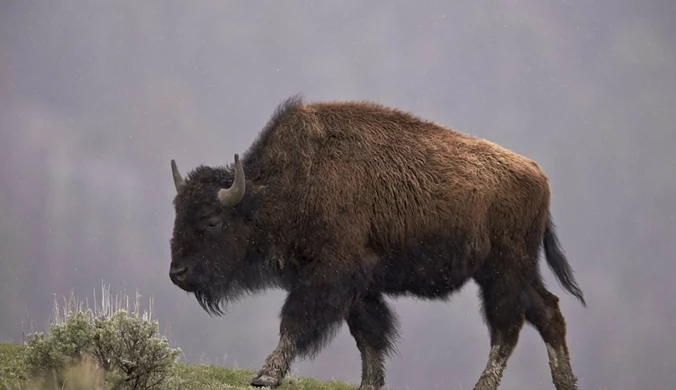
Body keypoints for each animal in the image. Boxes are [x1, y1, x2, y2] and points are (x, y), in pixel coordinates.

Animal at [166, 95, 584, 390]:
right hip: (517, 271)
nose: (177, 273)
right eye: (178, 215)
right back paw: (565, 383)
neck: (292, 183)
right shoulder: (359, 286)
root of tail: (538, 176)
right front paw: (369, 383)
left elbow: (297, 321)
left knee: (507, 327)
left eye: (212, 221)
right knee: (548, 312)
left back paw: (483, 386)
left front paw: (265, 375)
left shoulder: (328, 275)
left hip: (503, 270)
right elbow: (368, 335)